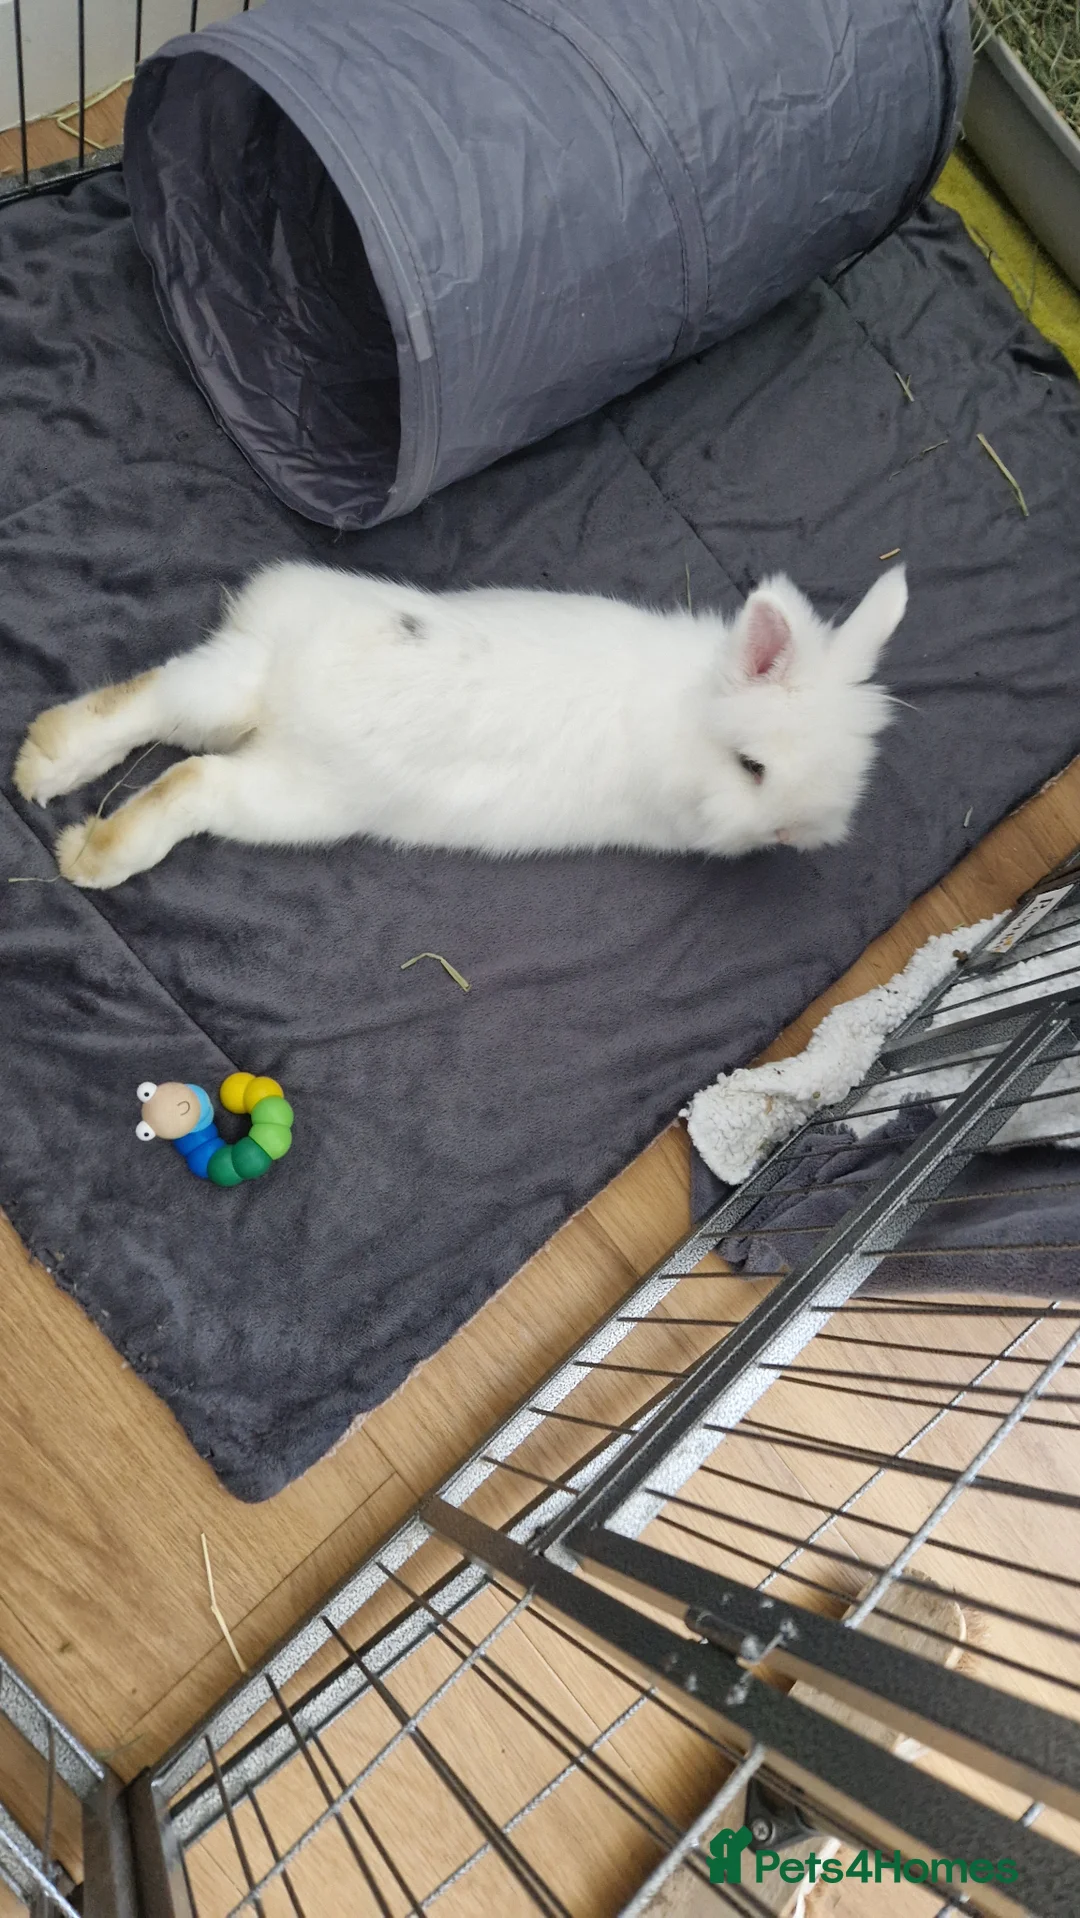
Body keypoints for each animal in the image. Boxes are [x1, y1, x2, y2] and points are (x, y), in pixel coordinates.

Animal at [12, 560, 906, 890]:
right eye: (753, 768)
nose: (787, 835)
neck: (684, 712)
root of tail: (286, 698)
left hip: (281, 775)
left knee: (165, 725)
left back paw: (49, 785)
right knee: (186, 764)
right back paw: (85, 856)